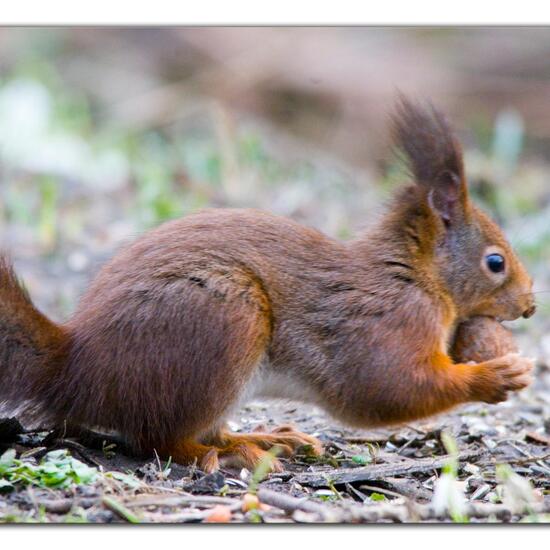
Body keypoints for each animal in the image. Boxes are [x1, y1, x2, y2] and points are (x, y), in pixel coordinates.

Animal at [0, 97, 536, 472]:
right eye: (495, 262)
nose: (530, 305)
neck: (415, 274)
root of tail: (75, 370)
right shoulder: (386, 321)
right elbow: (382, 388)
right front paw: (496, 376)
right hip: (223, 319)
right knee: (159, 439)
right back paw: (231, 455)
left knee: (201, 430)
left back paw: (264, 439)